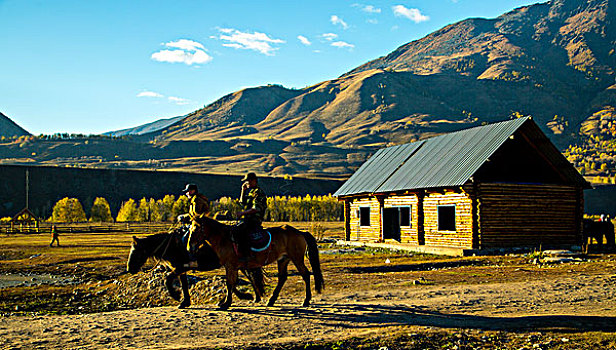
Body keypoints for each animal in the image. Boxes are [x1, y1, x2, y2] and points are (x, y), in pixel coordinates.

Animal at [127, 226, 264, 308]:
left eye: (136, 251)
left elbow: (168, 280)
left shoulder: (179, 268)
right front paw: (185, 302)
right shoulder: (181, 270)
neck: (172, 246)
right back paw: (254, 298)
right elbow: (184, 285)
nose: (130, 269)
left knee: (240, 280)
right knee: (249, 278)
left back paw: (232, 301)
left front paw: (176, 296)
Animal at [186, 217, 322, 310]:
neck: (224, 239)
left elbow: (230, 284)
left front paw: (227, 303)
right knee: (282, 278)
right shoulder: (234, 267)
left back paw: (306, 300)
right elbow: (234, 283)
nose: (189, 247)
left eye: (196, 229)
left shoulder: (231, 266)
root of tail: (300, 232)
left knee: (305, 275)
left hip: (296, 258)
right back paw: (271, 300)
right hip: (283, 259)